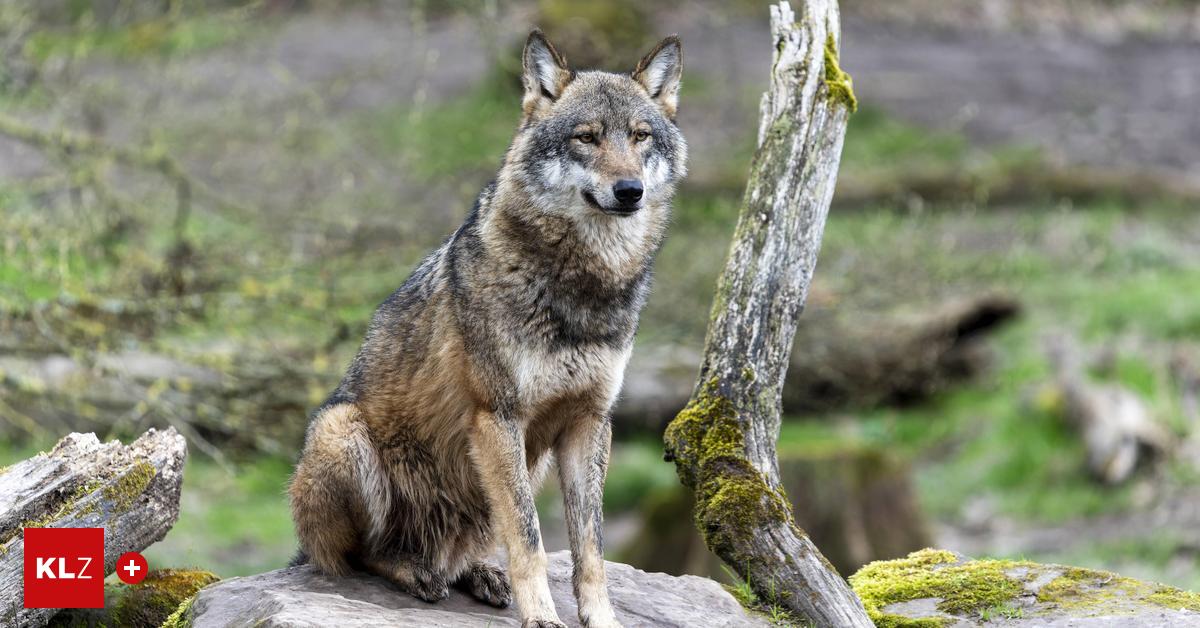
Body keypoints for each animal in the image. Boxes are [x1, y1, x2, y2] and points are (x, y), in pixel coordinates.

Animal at [289, 29, 686, 628]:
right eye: (586, 138)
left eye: (640, 137)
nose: (629, 190)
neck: (579, 288)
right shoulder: (498, 417)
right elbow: (529, 537)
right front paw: (541, 616)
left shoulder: (589, 421)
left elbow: (589, 546)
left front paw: (600, 617)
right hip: (343, 431)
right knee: (359, 556)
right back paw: (415, 573)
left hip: (519, 467)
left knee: (462, 549)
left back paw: (477, 573)